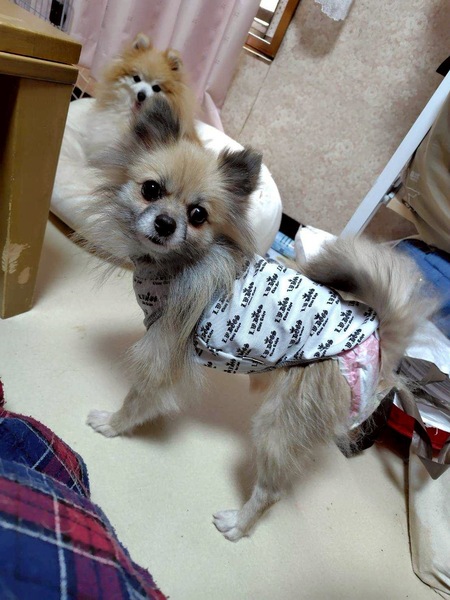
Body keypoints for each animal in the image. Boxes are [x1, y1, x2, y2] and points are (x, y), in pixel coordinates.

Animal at [83, 96, 434, 541]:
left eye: (198, 215)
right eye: (151, 190)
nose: (165, 222)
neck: (177, 265)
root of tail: (377, 341)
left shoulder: (163, 350)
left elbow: (137, 400)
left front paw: (112, 424)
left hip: (280, 425)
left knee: (272, 491)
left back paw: (237, 524)